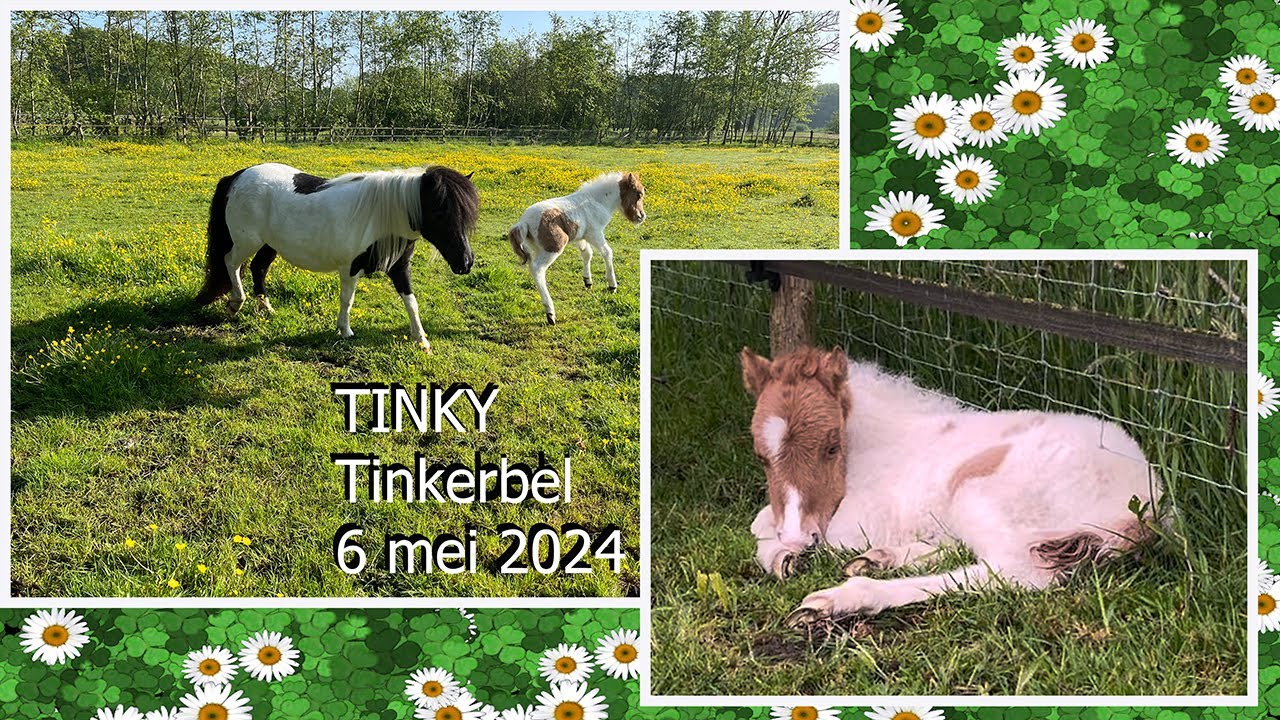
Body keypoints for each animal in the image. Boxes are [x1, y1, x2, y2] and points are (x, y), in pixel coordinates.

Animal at [195, 162, 479, 353]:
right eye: (440, 212)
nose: (465, 263)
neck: (381, 216)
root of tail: (238, 176)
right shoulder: (350, 268)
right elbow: (348, 300)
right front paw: (345, 331)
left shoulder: (400, 268)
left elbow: (411, 303)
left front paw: (422, 340)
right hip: (247, 241)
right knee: (231, 263)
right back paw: (236, 302)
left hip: (268, 244)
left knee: (258, 268)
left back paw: (266, 307)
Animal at [507, 171, 646, 324]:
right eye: (639, 194)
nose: (641, 217)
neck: (597, 201)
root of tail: (523, 223)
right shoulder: (595, 233)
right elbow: (607, 252)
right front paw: (612, 285)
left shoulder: (580, 237)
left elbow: (587, 254)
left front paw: (587, 281)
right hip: (554, 247)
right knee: (537, 269)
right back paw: (550, 313)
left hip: (538, 248)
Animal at [739, 345, 1163, 625]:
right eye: (760, 455)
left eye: (830, 446)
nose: (797, 538)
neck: (881, 441)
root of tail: (1147, 502)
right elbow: (761, 520)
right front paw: (786, 556)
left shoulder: (862, 519)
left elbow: (777, 527)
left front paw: (785, 558)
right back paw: (880, 559)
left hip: (977, 494)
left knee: (1017, 572)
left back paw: (842, 598)